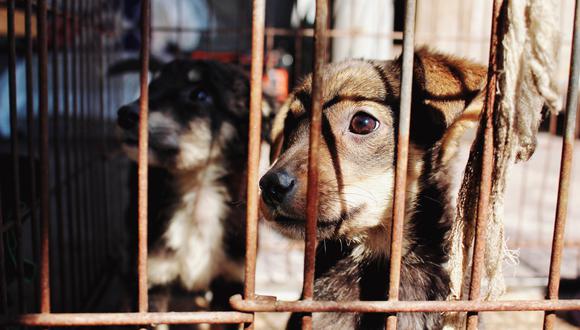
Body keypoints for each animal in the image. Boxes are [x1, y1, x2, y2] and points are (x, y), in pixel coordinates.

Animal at [116, 58, 274, 320]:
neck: (198, 193)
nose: (124, 114)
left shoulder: (231, 280)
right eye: (152, 84)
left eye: (200, 94)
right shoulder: (151, 277)